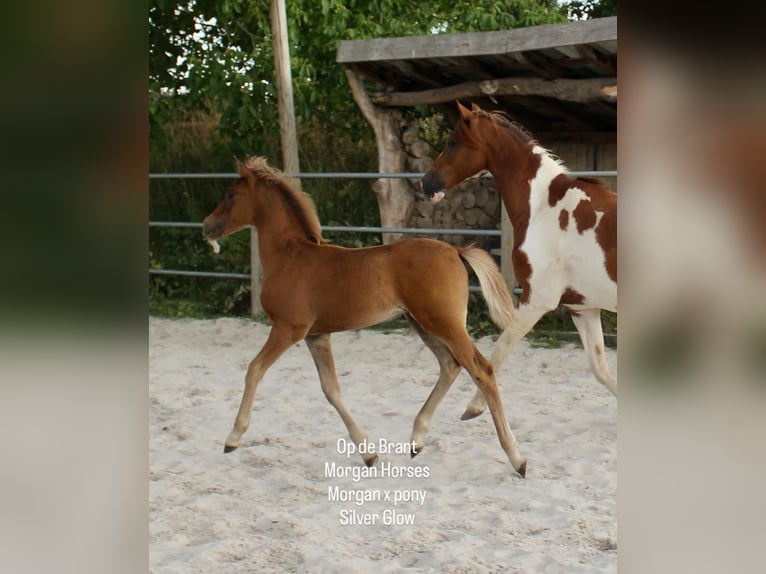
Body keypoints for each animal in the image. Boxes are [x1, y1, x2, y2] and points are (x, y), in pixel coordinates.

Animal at [202, 156, 528, 476]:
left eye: (230, 194)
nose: (207, 226)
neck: (290, 258)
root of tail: (455, 251)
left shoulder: (288, 328)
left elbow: (254, 369)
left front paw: (232, 438)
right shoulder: (316, 335)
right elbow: (331, 389)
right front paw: (368, 453)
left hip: (444, 323)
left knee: (481, 370)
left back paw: (517, 458)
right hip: (422, 323)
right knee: (450, 366)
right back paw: (417, 439)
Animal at [421, 102, 617, 421]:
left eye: (452, 142)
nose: (425, 184)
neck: (541, 208)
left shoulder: (536, 300)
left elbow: (498, 350)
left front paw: (473, 408)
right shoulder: (582, 307)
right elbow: (601, 370)